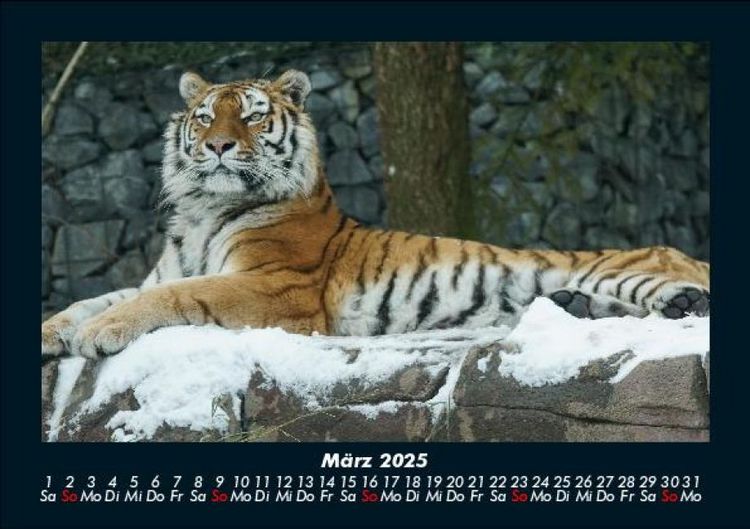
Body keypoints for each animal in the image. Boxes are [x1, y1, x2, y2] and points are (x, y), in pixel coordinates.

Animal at [41, 69, 710, 360]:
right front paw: (58, 330)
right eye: (206, 117)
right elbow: (92, 298)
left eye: (252, 116)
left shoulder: (276, 287)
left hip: (627, 268)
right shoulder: (165, 270)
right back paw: (578, 307)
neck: (206, 210)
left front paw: (100, 334)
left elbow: (173, 297)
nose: (219, 146)